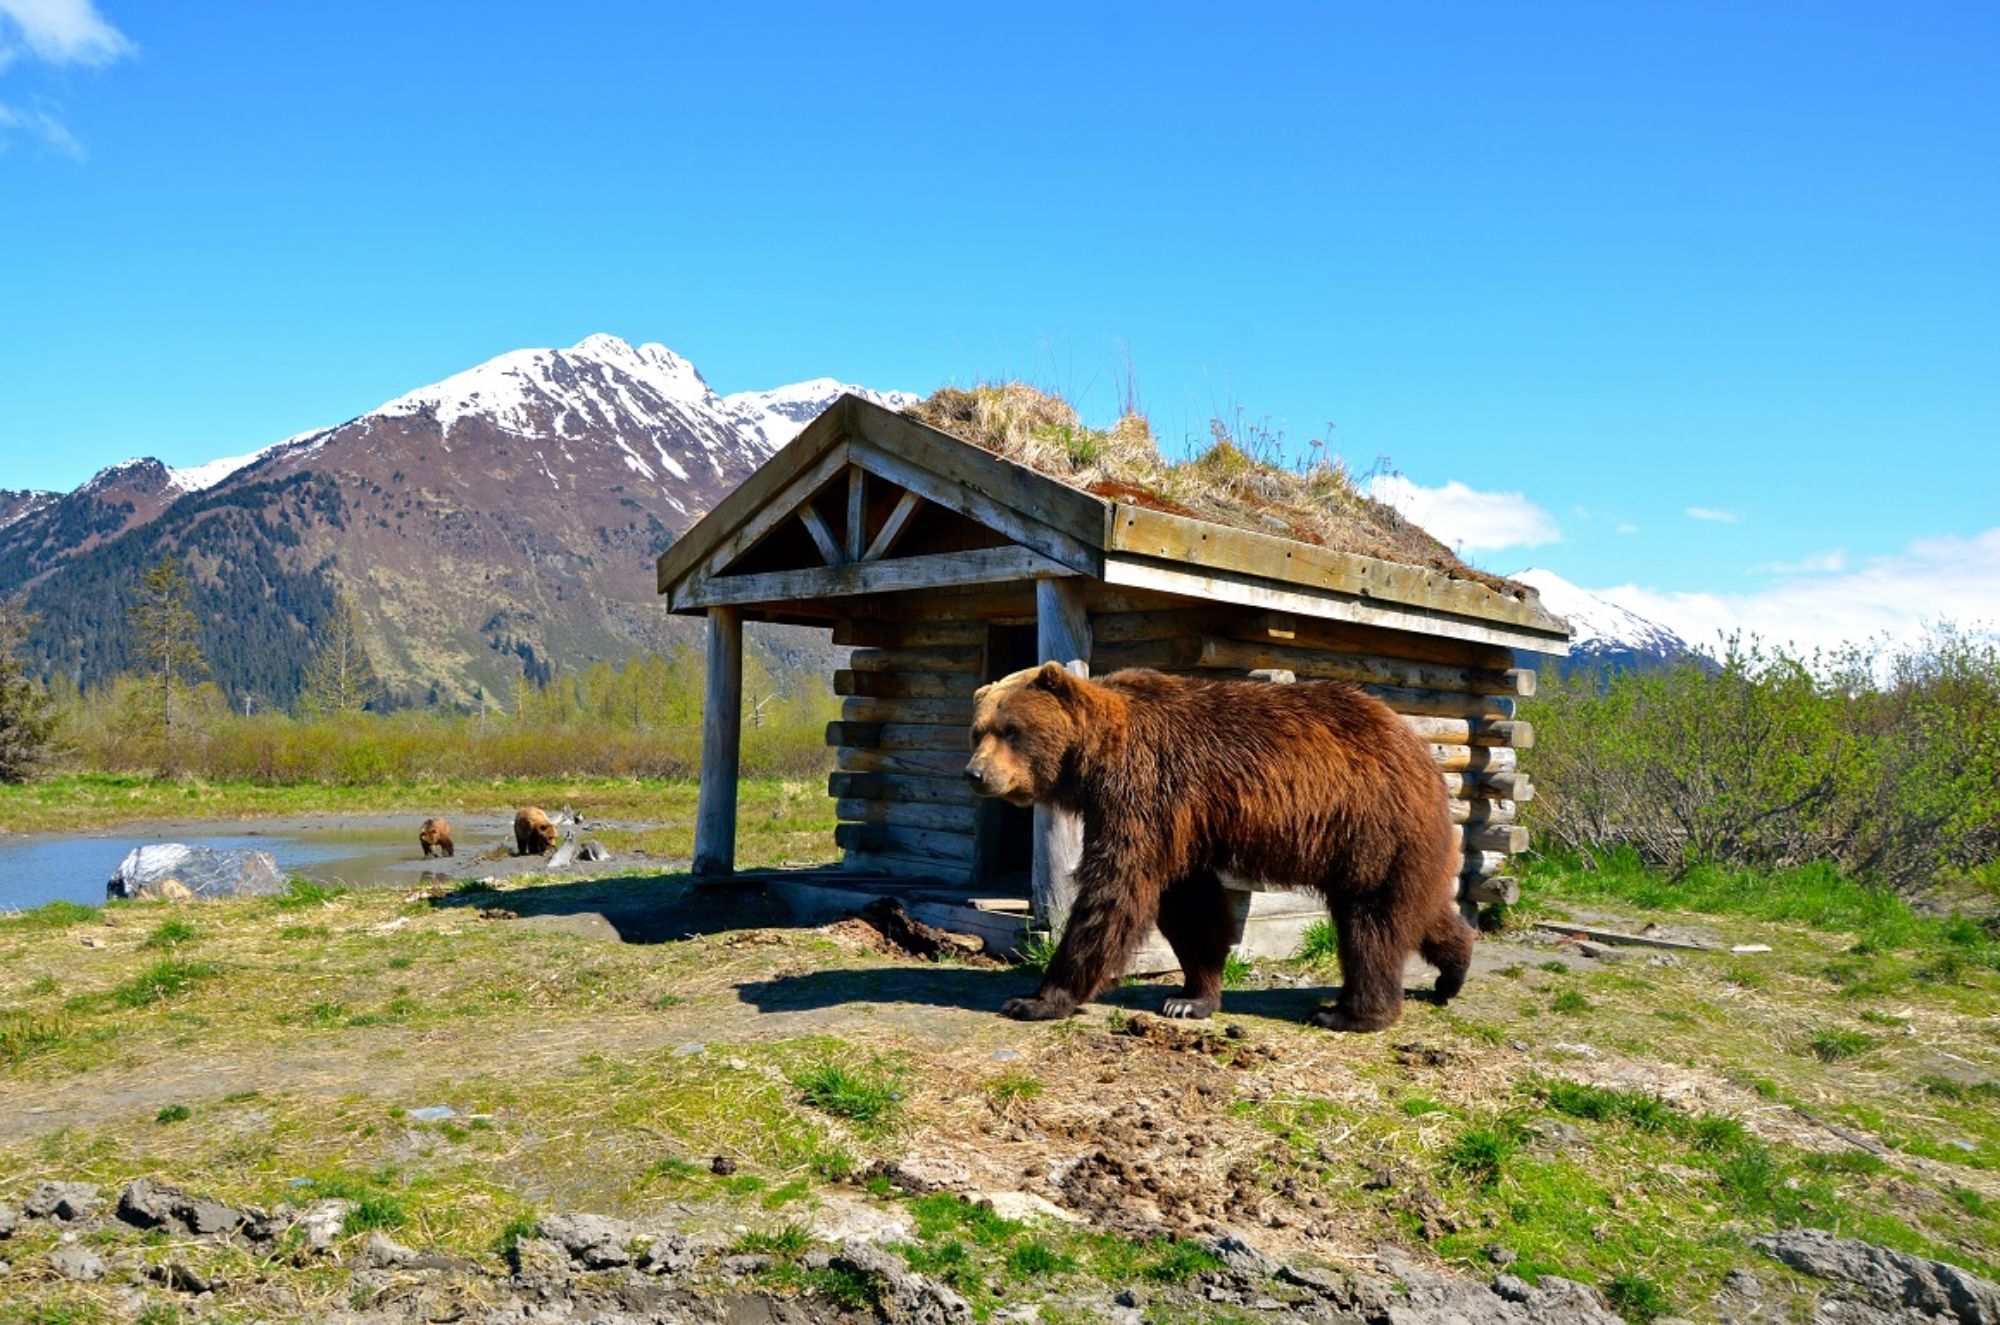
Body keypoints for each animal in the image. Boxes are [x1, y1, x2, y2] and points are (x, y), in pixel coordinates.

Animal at [968, 668, 1472, 1032]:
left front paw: (1036, 999)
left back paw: (1349, 1013)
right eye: (978, 731)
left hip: (1371, 826)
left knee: (1371, 922)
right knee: (1418, 909)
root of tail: (1422, 750)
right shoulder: (1180, 822)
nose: (975, 774)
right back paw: (1453, 971)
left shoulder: (1144, 792)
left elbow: (1115, 889)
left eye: (1010, 729)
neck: (1095, 760)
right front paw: (1189, 999)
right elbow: (1190, 907)